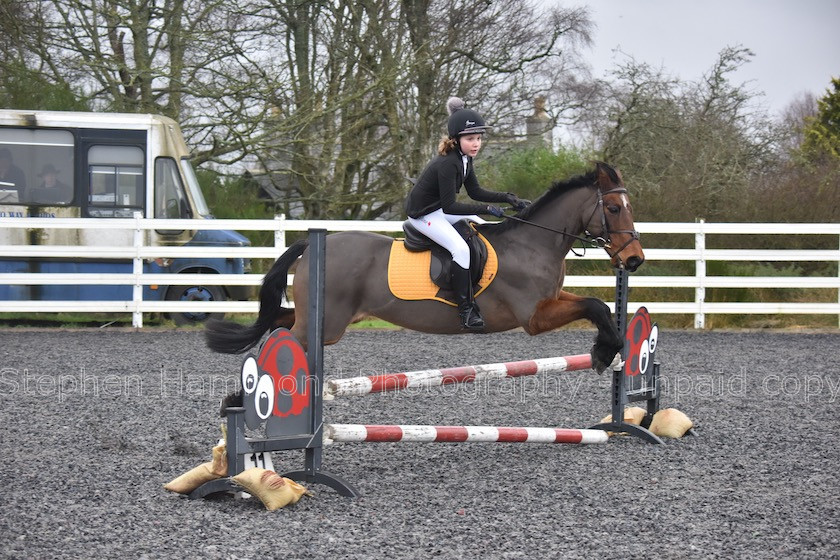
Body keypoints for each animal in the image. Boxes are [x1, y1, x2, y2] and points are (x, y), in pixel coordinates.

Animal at [207, 162, 648, 372]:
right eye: (613, 208)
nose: (634, 259)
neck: (533, 242)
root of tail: (313, 243)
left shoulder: (552, 300)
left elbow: (599, 306)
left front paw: (607, 349)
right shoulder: (534, 317)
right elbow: (594, 305)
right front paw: (604, 352)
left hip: (319, 319)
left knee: (279, 323)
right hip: (327, 325)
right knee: (286, 337)